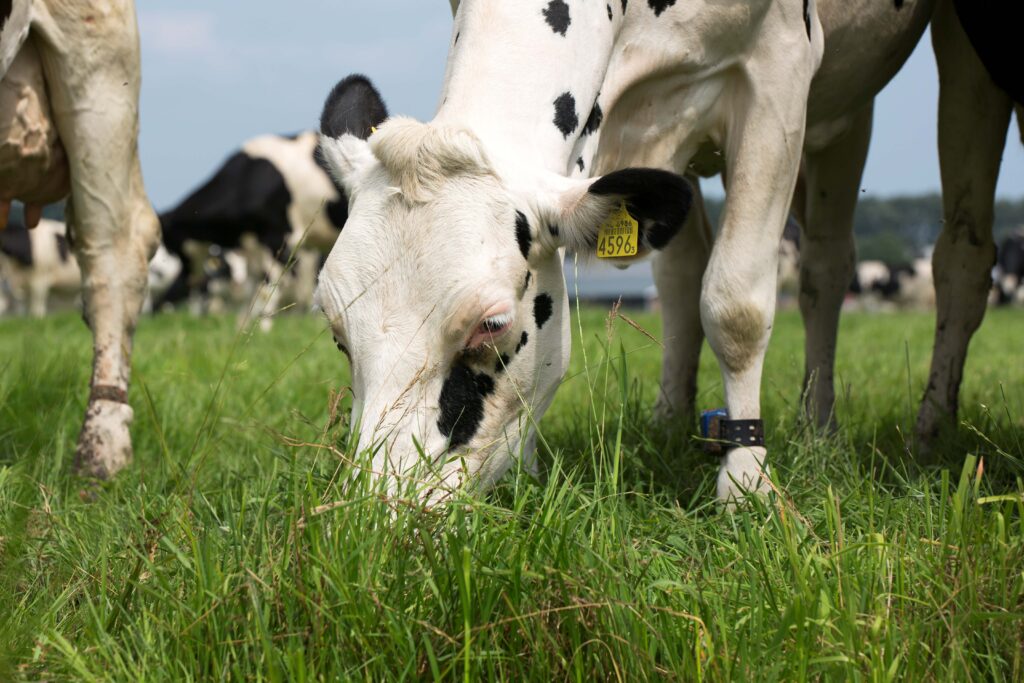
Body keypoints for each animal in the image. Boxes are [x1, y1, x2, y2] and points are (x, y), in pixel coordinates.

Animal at [313, 1, 942, 504]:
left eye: (490, 326)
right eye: (338, 336)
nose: (377, 515)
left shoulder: (780, 68)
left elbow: (736, 303)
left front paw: (746, 482)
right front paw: (529, 474)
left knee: (853, 265)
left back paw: (869, 427)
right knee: (684, 274)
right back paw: (672, 421)